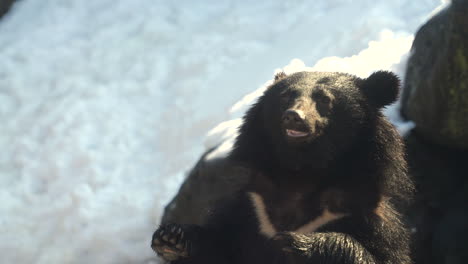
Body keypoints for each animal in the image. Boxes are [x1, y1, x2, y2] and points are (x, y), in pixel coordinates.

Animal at [152, 70, 412, 264]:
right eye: (286, 96)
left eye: (324, 99)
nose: (293, 116)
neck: (301, 171)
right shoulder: (249, 207)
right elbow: (218, 244)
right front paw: (171, 238)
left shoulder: (364, 216)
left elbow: (374, 254)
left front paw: (296, 243)